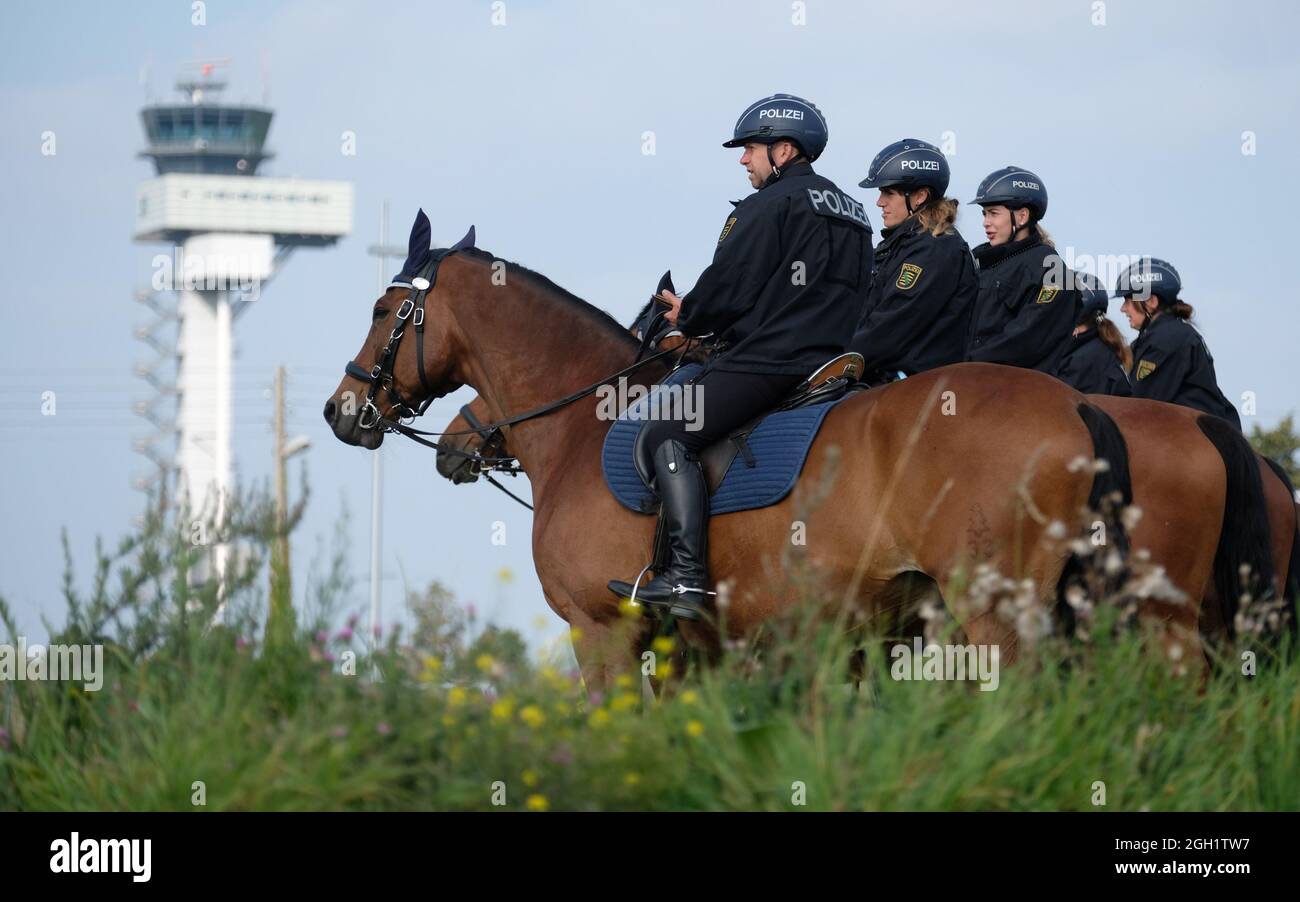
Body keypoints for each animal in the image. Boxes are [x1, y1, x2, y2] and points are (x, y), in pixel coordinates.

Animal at [325, 227, 1159, 691]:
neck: (588, 422)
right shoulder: (692, 650)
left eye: (382, 310)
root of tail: (1071, 404)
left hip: (993, 613)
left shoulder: (601, 631)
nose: (342, 409)